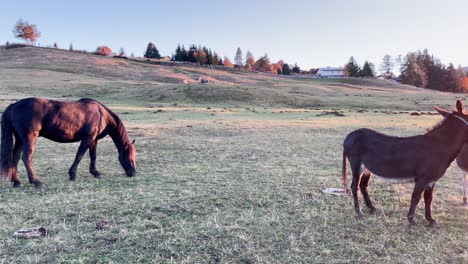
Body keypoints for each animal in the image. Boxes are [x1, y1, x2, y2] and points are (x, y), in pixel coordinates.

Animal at [1, 97, 136, 188]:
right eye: (130, 155)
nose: (133, 173)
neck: (101, 114)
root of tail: (14, 105)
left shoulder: (93, 140)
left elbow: (93, 156)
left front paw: (95, 172)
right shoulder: (88, 138)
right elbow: (79, 155)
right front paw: (72, 174)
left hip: (20, 140)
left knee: (15, 157)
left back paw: (17, 182)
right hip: (29, 139)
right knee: (26, 157)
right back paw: (36, 182)